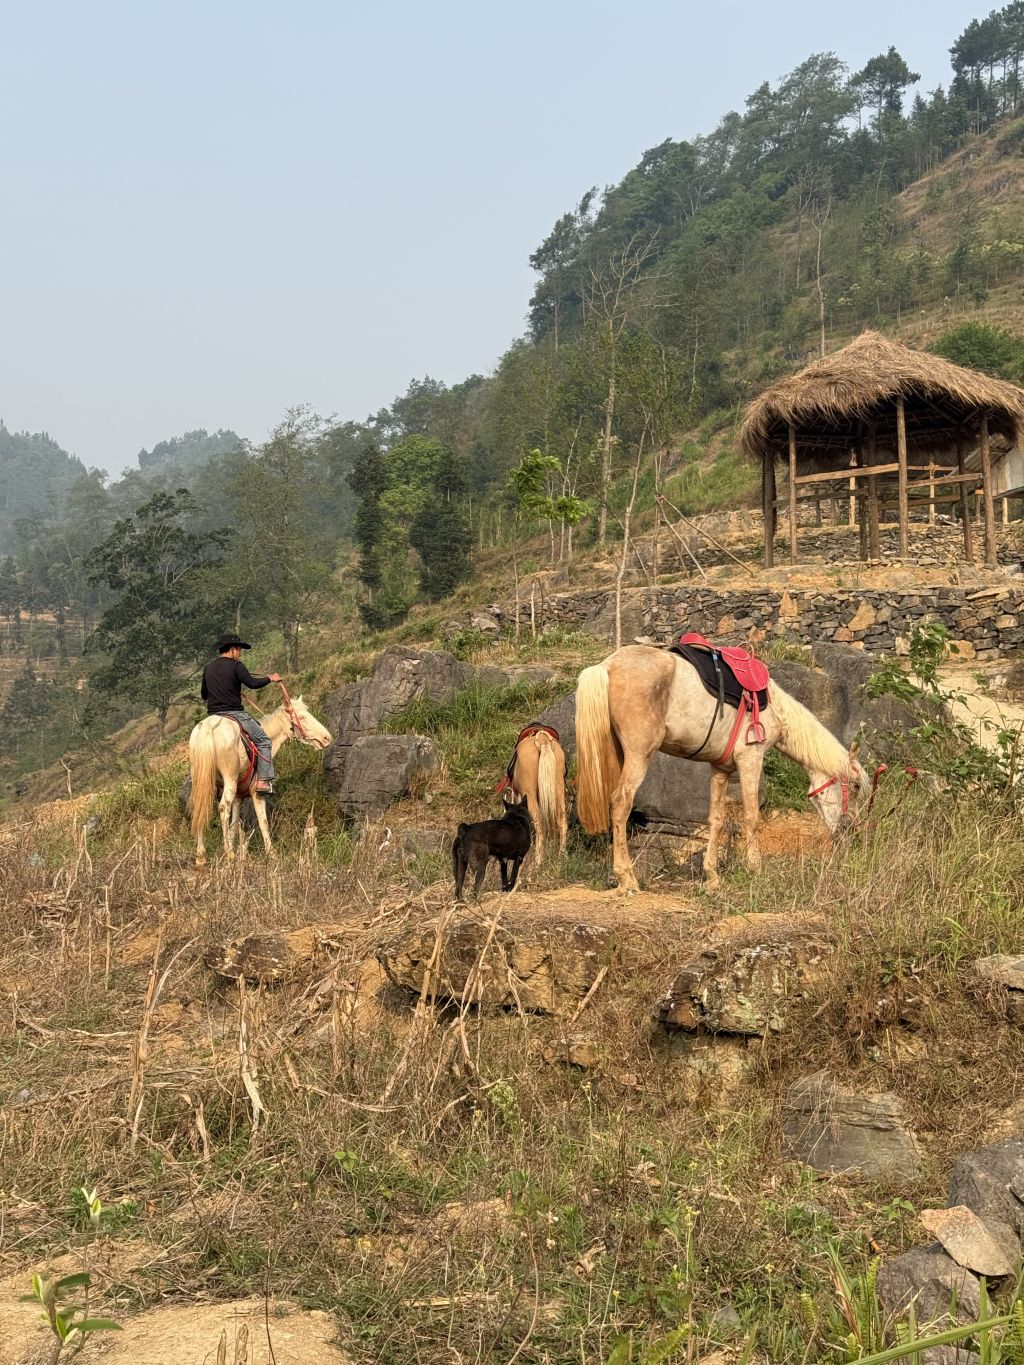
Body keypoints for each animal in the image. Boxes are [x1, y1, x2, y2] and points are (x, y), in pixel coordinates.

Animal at [188, 694, 332, 866]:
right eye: (301, 717)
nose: (326, 737)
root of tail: (208, 727)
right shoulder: (256, 793)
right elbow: (263, 821)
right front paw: (271, 853)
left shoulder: (238, 797)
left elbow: (234, 823)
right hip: (230, 779)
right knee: (223, 808)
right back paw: (229, 853)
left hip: (202, 781)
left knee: (200, 808)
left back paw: (201, 855)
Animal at [503, 727, 568, 864]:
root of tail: (542, 739)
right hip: (558, 791)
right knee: (562, 822)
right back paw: (561, 856)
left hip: (530, 795)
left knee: (540, 825)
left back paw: (538, 861)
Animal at [575, 644, 870, 891]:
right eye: (855, 786)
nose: (852, 831)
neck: (775, 708)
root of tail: (607, 666)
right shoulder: (751, 759)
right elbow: (752, 816)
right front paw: (756, 869)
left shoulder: (721, 769)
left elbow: (716, 820)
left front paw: (712, 876)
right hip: (639, 755)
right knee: (620, 802)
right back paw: (628, 878)